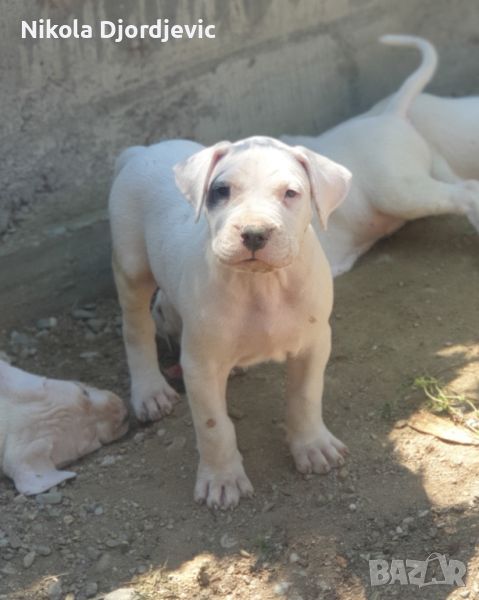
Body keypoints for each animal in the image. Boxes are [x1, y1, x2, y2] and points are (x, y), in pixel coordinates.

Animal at [109, 135, 352, 506]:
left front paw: (313, 447)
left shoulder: (313, 345)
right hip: (132, 267)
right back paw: (150, 391)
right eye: (221, 191)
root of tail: (144, 151)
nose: (254, 233)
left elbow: (305, 396)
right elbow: (214, 426)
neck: (262, 285)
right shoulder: (201, 366)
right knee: (137, 329)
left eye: (291, 193)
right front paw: (222, 479)